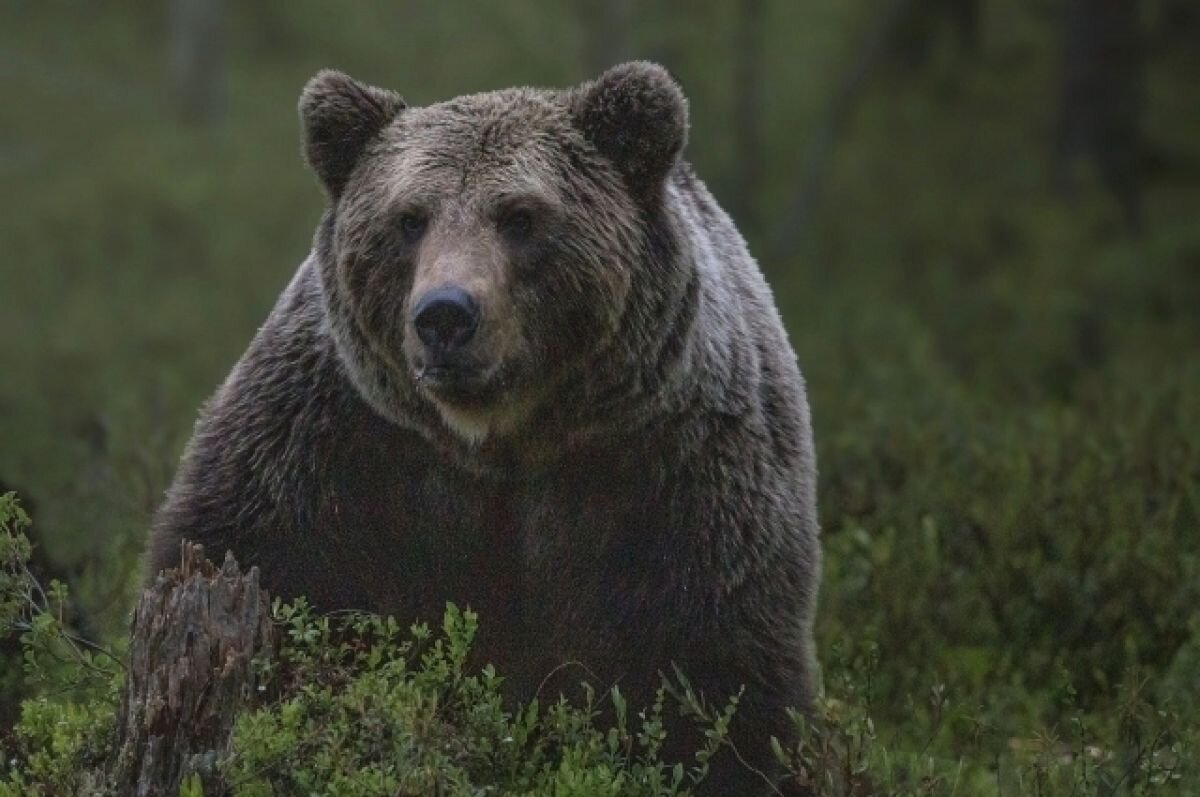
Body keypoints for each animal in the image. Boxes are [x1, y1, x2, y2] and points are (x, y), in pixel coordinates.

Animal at [150, 62, 820, 792]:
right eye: (409, 218)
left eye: (520, 217)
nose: (445, 315)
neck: (500, 440)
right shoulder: (331, 444)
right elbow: (255, 555)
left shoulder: (675, 470)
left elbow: (716, 672)